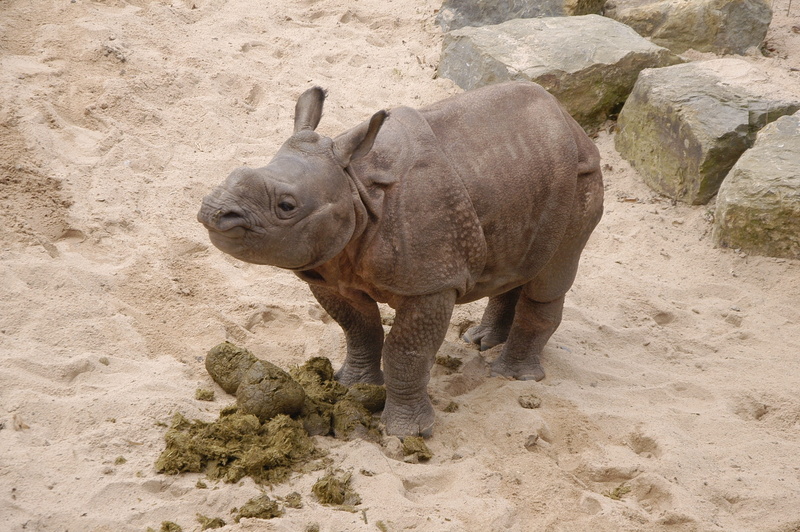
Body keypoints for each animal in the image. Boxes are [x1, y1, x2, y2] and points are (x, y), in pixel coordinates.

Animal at [197, 81, 603, 437]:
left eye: (286, 206)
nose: (214, 211)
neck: (355, 187)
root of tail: (571, 123)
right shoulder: (328, 270)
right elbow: (359, 329)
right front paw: (352, 386)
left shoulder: (431, 283)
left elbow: (407, 353)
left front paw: (408, 432)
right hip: (521, 174)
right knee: (518, 263)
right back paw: (481, 341)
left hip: (581, 178)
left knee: (550, 275)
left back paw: (512, 376)